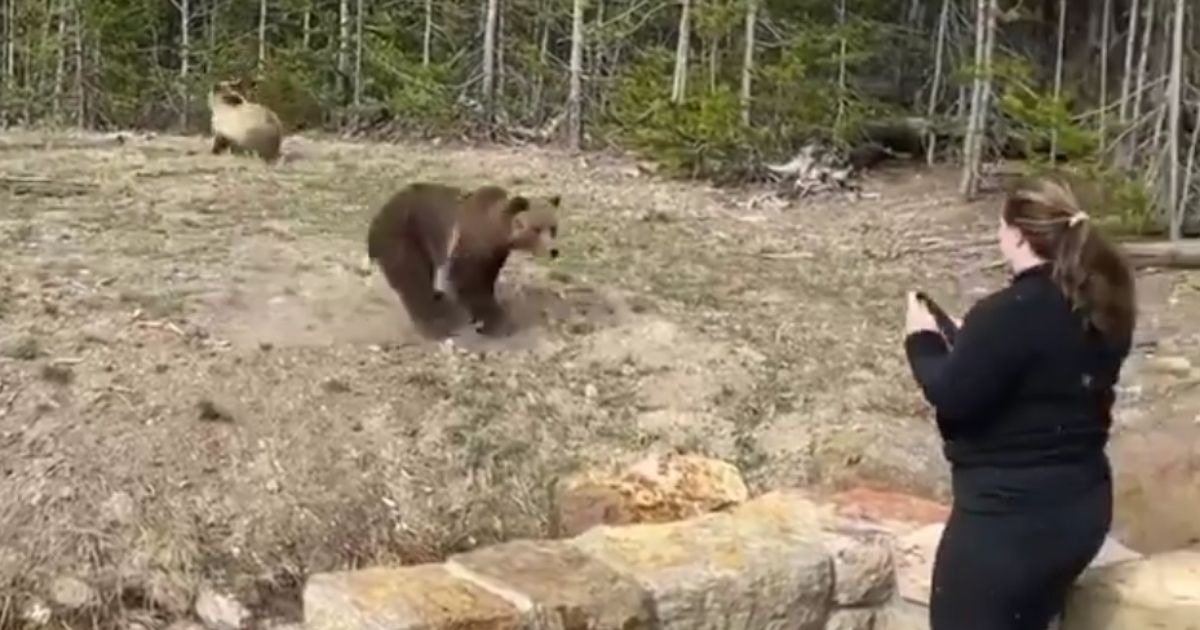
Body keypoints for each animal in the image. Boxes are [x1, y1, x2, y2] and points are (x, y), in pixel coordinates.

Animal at [366, 182, 561, 338]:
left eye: (553, 228)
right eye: (536, 229)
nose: (553, 251)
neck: (494, 232)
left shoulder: (492, 256)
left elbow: (484, 281)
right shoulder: (468, 247)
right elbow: (467, 282)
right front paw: (495, 322)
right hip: (403, 235)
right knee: (413, 280)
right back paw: (435, 325)